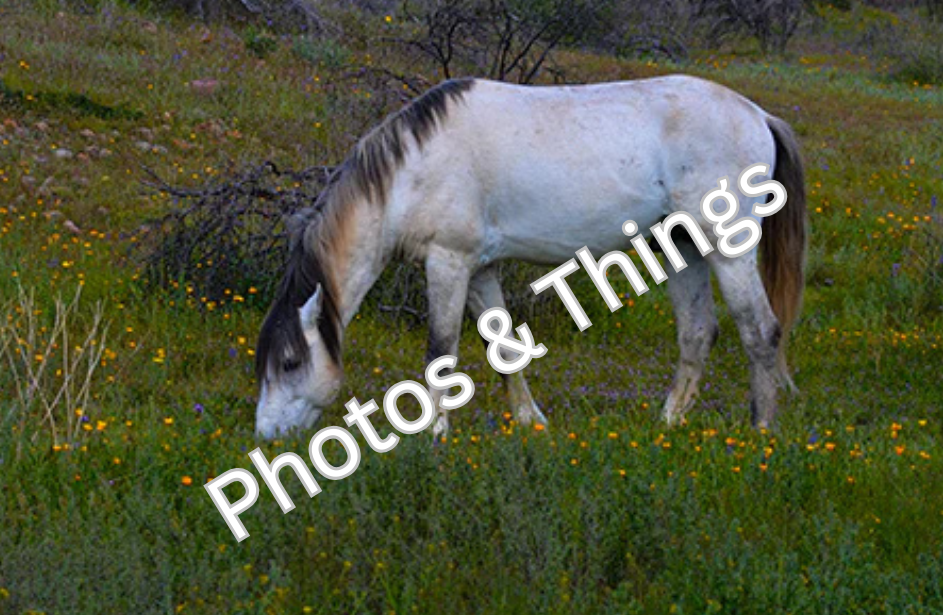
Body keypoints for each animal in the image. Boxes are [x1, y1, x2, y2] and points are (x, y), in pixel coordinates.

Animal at [253, 75, 807, 440]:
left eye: (289, 361)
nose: (265, 437)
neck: (413, 169)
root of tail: (759, 115)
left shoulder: (448, 262)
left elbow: (440, 351)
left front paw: (433, 438)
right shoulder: (480, 269)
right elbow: (503, 348)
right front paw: (530, 421)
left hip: (729, 249)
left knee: (761, 331)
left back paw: (760, 432)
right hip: (683, 246)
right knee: (697, 332)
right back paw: (667, 423)